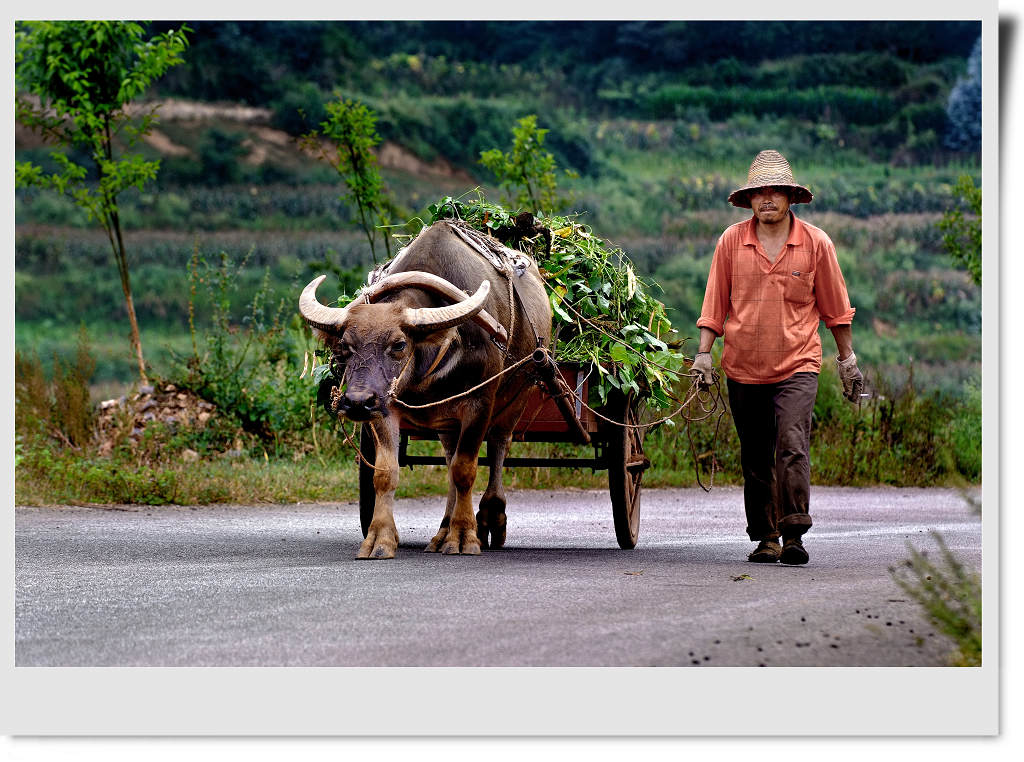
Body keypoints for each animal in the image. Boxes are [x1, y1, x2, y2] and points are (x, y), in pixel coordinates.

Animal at [299, 220, 552, 561]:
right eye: (344, 347)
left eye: (399, 345)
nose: (356, 402)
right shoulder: (385, 406)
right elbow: (386, 472)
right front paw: (379, 539)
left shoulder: (479, 403)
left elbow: (466, 469)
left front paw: (464, 536)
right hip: (446, 421)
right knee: (449, 458)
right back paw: (442, 531)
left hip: (517, 396)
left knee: (498, 446)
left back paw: (489, 517)